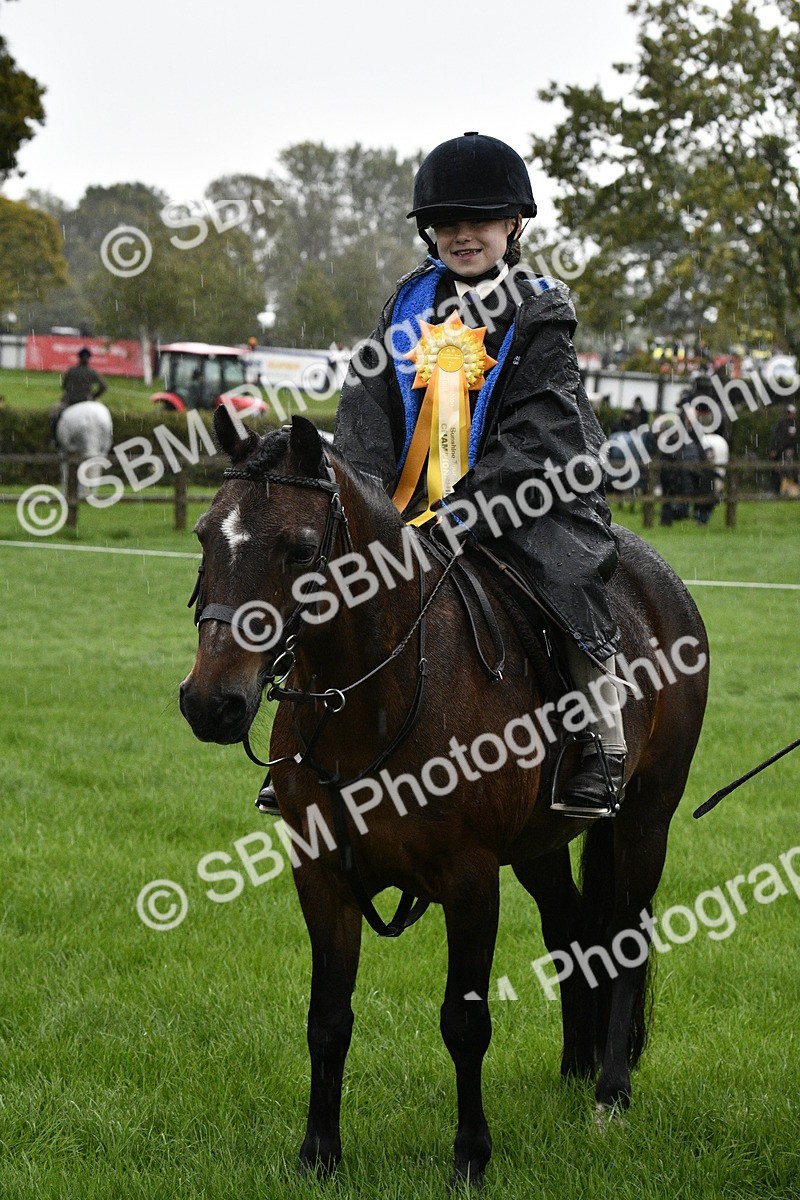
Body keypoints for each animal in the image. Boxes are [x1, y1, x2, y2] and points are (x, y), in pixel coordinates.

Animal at [179, 408, 709, 1187]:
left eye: (301, 549)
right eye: (206, 535)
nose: (210, 702)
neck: (377, 700)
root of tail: (662, 586)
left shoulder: (469, 879)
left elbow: (464, 1022)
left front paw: (470, 1156)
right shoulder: (323, 879)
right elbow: (327, 1019)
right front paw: (319, 1154)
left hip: (645, 818)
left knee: (626, 939)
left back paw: (609, 1091)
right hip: (541, 847)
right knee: (572, 931)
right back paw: (575, 1068)